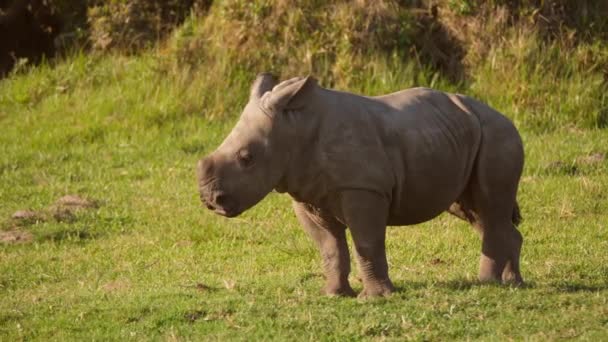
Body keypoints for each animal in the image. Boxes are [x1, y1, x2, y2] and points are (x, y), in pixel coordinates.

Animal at [197, 73, 524, 298]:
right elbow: (329, 247)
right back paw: (513, 283)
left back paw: (486, 284)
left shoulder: (364, 188)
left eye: (246, 158)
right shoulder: (304, 193)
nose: (209, 200)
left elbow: (366, 242)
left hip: (498, 136)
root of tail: (505, 118)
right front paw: (333, 294)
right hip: (458, 137)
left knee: (490, 205)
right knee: (477, 212)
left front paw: (376, 297)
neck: (295, 126)